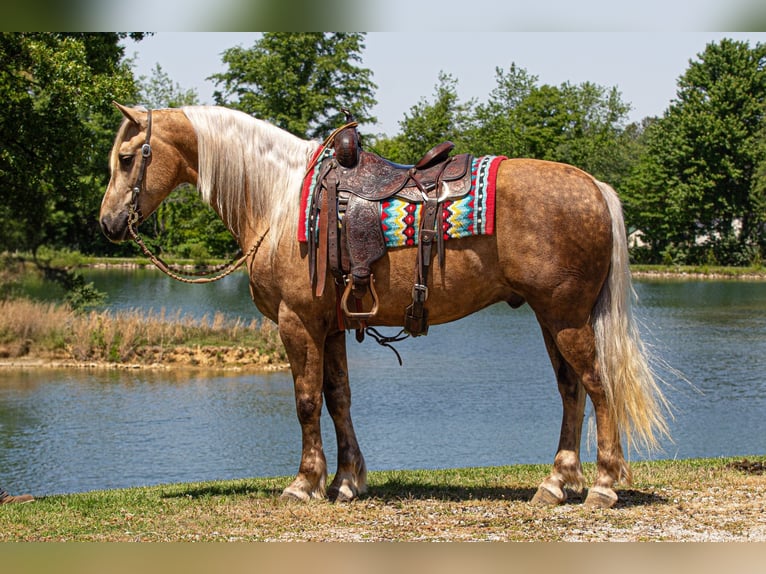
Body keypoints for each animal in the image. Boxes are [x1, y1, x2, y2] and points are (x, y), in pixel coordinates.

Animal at [100, 103, 670, 509]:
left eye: (127, 159)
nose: (107, 223)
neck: (280, 201)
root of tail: (592, 184)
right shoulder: (329, 326)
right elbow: (338, 398)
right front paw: (347, 481)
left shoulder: (297, 323)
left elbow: (305, 402)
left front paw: (304, 483)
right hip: (550, 317)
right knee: (571, 391)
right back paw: (557, 483)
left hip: (567, 317)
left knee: (598, 387)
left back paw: (603, 485)